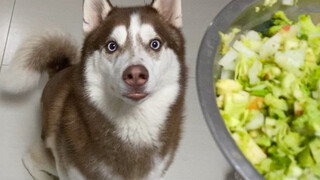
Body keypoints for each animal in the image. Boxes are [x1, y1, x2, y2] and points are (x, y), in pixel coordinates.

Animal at [0, 0, 188, 179]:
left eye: (155, 44)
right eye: (111, 46)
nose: (135, 74)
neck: (133, 123)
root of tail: (60, 70)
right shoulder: (68, 170)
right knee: (29, 159)